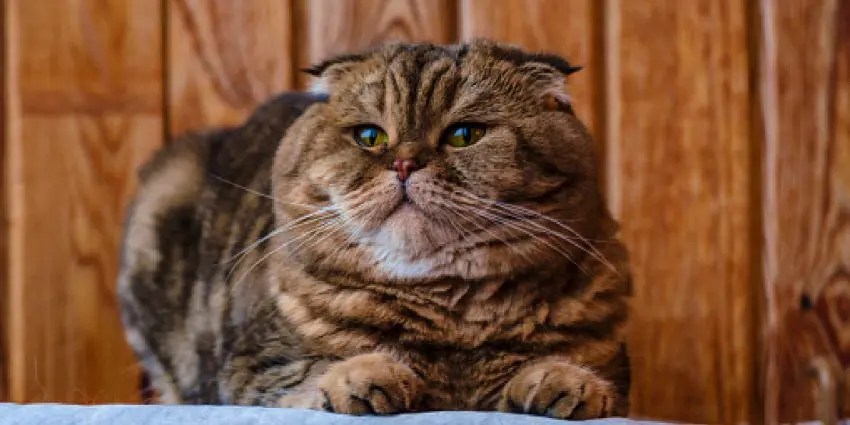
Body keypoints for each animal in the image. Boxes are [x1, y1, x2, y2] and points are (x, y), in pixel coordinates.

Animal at [119, 39, 632, 418]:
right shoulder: (253, 364)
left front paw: (564, 383)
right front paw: (368, 377)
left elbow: (575, 372)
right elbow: (314, 371)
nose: (404, 163)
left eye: (464, 135)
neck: (447, 314)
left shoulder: (613, 364)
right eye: (370, 137)